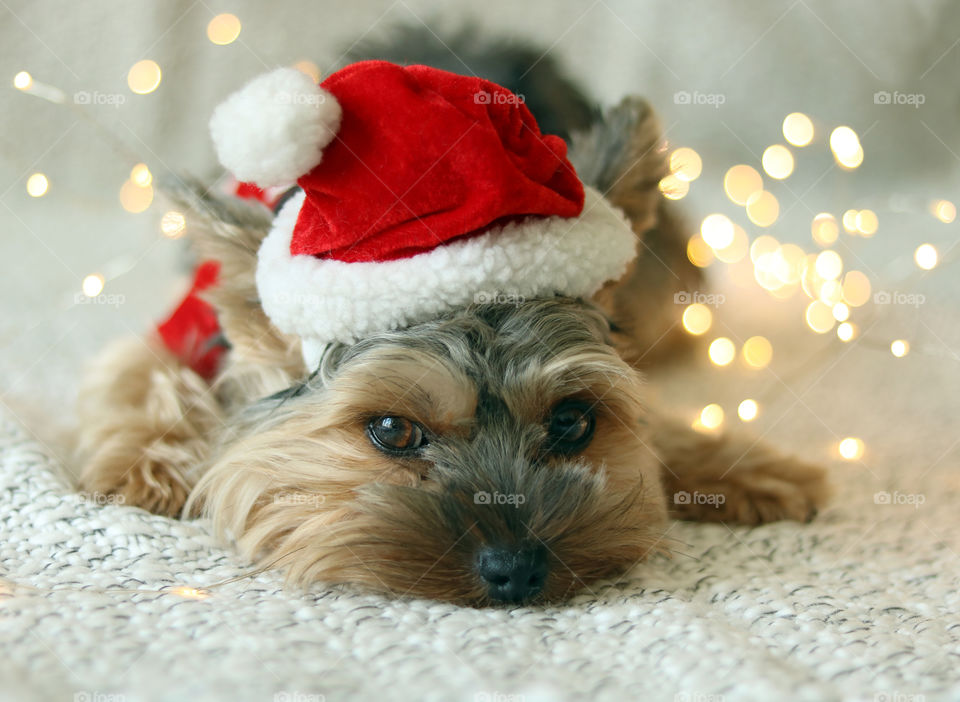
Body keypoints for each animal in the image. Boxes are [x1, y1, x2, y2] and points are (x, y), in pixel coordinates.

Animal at [71, 31, 828, 604]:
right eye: (391, 430)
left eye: (572, 422)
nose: (516, 571)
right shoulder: (187, 325)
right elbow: (145, 373)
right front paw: (151, 467)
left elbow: (655, 419)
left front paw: (746, 468)